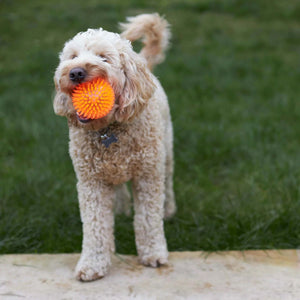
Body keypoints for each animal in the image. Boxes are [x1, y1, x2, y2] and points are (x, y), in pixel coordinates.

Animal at [53, 13, 176, 282]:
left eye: (103, 57)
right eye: (72, 56)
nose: (75, 73)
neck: (109, 129)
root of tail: (144, 63)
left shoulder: (147, 176)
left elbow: (148, 220)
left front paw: (153, 254)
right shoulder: (91, 183)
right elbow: (95, 226)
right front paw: (92, 264)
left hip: (166, 152)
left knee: (168, 181)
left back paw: (169, 209)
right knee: (119, 188)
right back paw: (120, 208)